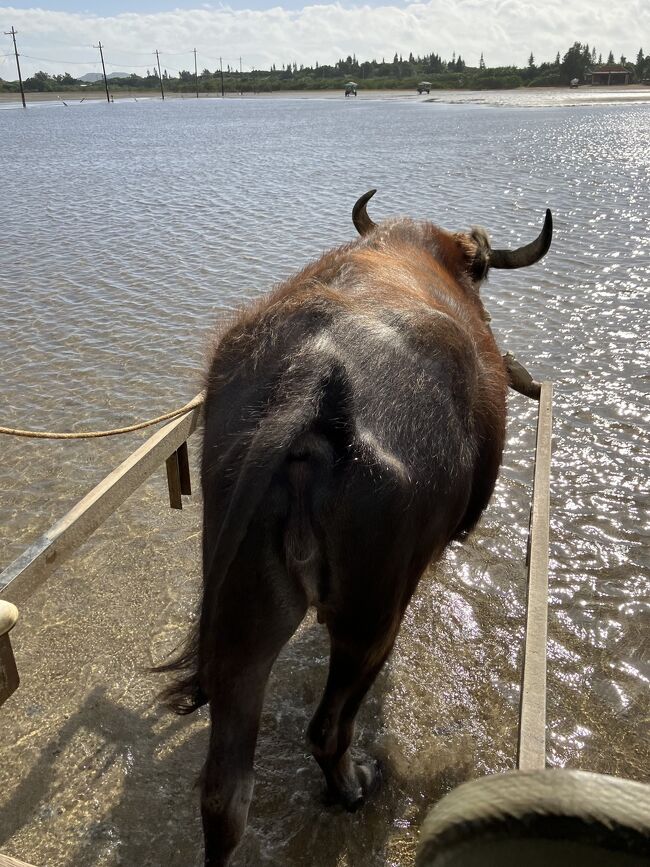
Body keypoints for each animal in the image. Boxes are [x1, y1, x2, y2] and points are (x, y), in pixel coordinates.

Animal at [156, 192, 548, 867]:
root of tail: (310, 379)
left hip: (241, 606)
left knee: (225, 788)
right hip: (373, 612)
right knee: (328, 727)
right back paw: (353, 787)